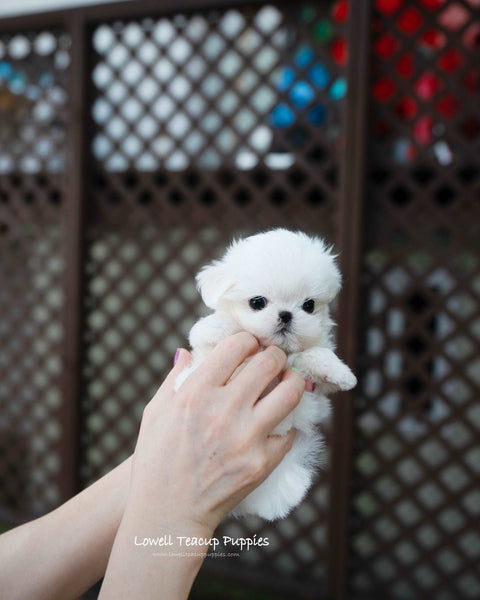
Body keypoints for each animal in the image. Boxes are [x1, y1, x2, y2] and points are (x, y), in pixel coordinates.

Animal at [176, 230, 356, 520]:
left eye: (309, 305)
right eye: (257, 302)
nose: (286, 315)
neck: (276, 348)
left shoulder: (314, 387)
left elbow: (315, 354)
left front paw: (341, 373)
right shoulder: (207, 353)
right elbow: (215, 332)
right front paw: (219, 326)